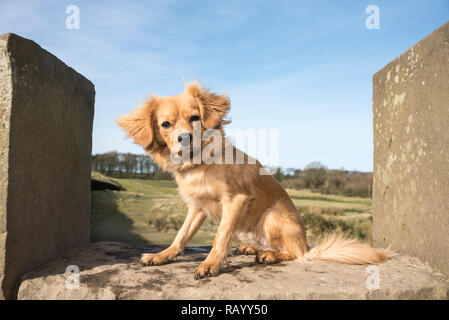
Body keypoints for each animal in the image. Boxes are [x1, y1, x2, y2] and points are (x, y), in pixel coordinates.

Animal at [115, 83, 388, 280]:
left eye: (194, 118)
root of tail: (306, 244)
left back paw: (269, 256)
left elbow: (220, 236)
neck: (201, 164)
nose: (184, 137)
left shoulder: (235, 200)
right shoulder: (197, 207)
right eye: (165, 124)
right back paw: (254, 250)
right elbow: (181, 235)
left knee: (294, 254)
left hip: (271, 217)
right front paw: (163, 255)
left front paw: (211, 263)